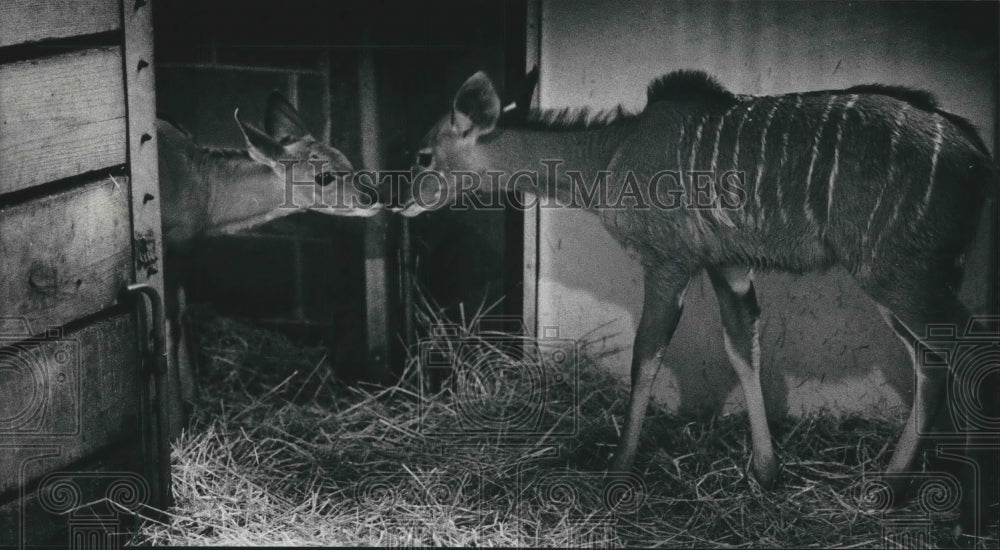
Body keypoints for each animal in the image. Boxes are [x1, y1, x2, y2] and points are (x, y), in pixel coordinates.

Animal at [158, 91, 380, 432]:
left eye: (349, 162)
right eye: (324, 176)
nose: (371, 198)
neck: (204, 188)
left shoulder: (183, 250)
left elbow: (181, 317)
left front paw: (193, 402)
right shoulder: (169, 249)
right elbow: (168, 328)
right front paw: (176, 426)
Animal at [396, 73, 992, 504]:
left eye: (423, 156)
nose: (395, 198)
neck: (612, 153)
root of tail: (976, 154)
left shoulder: (668, 263)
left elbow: (645, 355)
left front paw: (617, 473)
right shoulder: (728, 264)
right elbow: (743, 346)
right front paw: (766, 473)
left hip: (895, 272)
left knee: (969, 351)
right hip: (913, 276)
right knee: (933, 361)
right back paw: (887, 488)